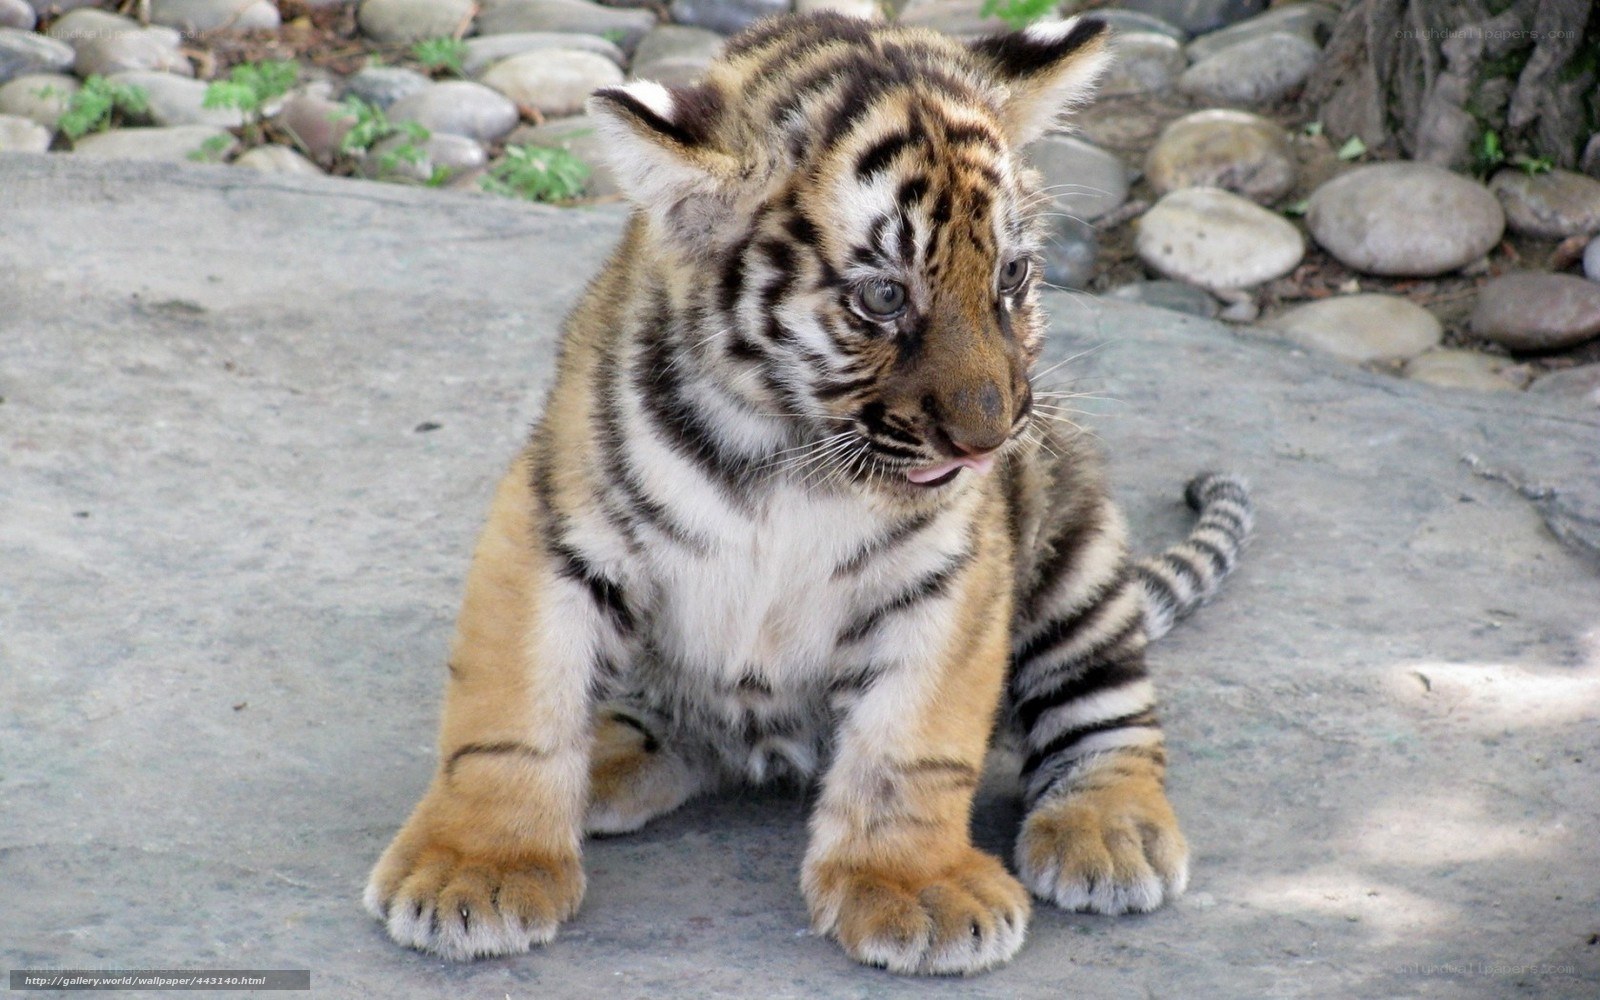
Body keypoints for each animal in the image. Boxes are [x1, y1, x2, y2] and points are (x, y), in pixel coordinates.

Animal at [363, 10, 1255, 976]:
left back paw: (1110, 833)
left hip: (1079, 551)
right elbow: (511, 713)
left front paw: (917, 887)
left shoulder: (949, 572)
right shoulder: (555, 526)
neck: (794, 453)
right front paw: (477, 867)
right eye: (884, 296)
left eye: (1012, 277)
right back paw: (603, 757)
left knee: (1111, 713)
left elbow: (912, 742)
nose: (990, 440)